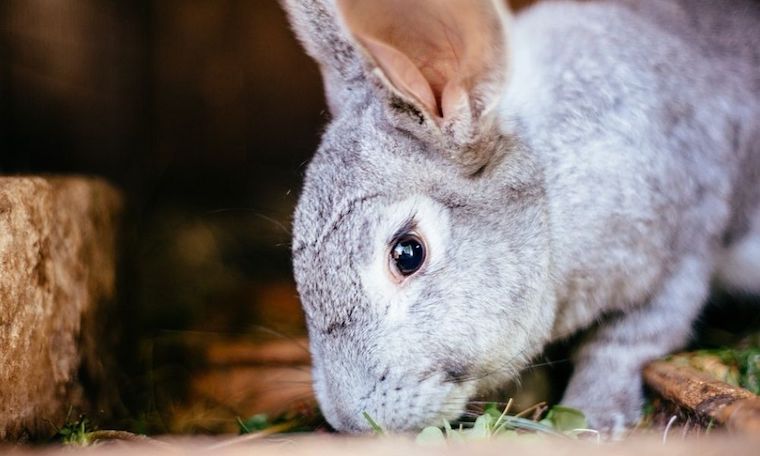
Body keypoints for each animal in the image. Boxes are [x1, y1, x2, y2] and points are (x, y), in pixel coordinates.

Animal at [283, 0, 760, 435]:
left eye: (407, 254)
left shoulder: (685, 247)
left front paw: (593, 418)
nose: (350, 421)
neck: (549, 195)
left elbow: (624, 340)